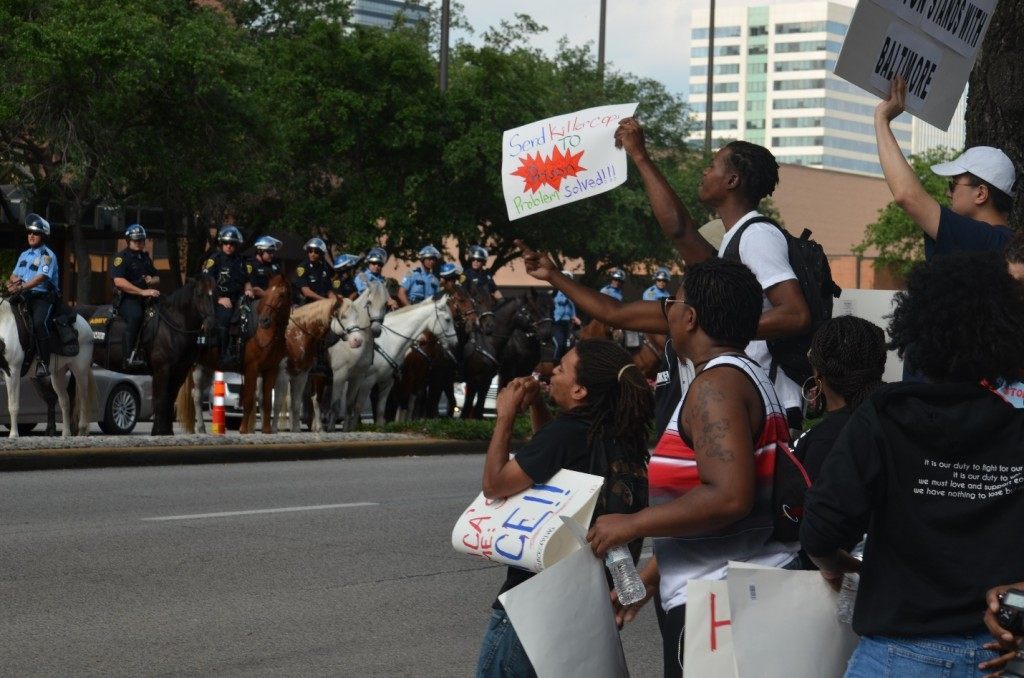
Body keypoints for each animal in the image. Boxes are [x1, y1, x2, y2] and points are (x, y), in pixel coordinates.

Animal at [0, 288, 96, 438]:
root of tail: (85, 324)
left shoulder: (13, 370)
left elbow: (13, 405)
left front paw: (14, 435)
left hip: (80, 369)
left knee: (82, 397)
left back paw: (81, 430)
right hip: (58, 374)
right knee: (65, 401)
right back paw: (66, 433)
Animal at [237, 276, 290, 436]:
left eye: (281, 295)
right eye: (265, 294)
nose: (264, 320)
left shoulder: (270, 369)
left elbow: (267, 401)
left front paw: (266, 430)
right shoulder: (251, 368)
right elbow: (248, 399)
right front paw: (243, 429)